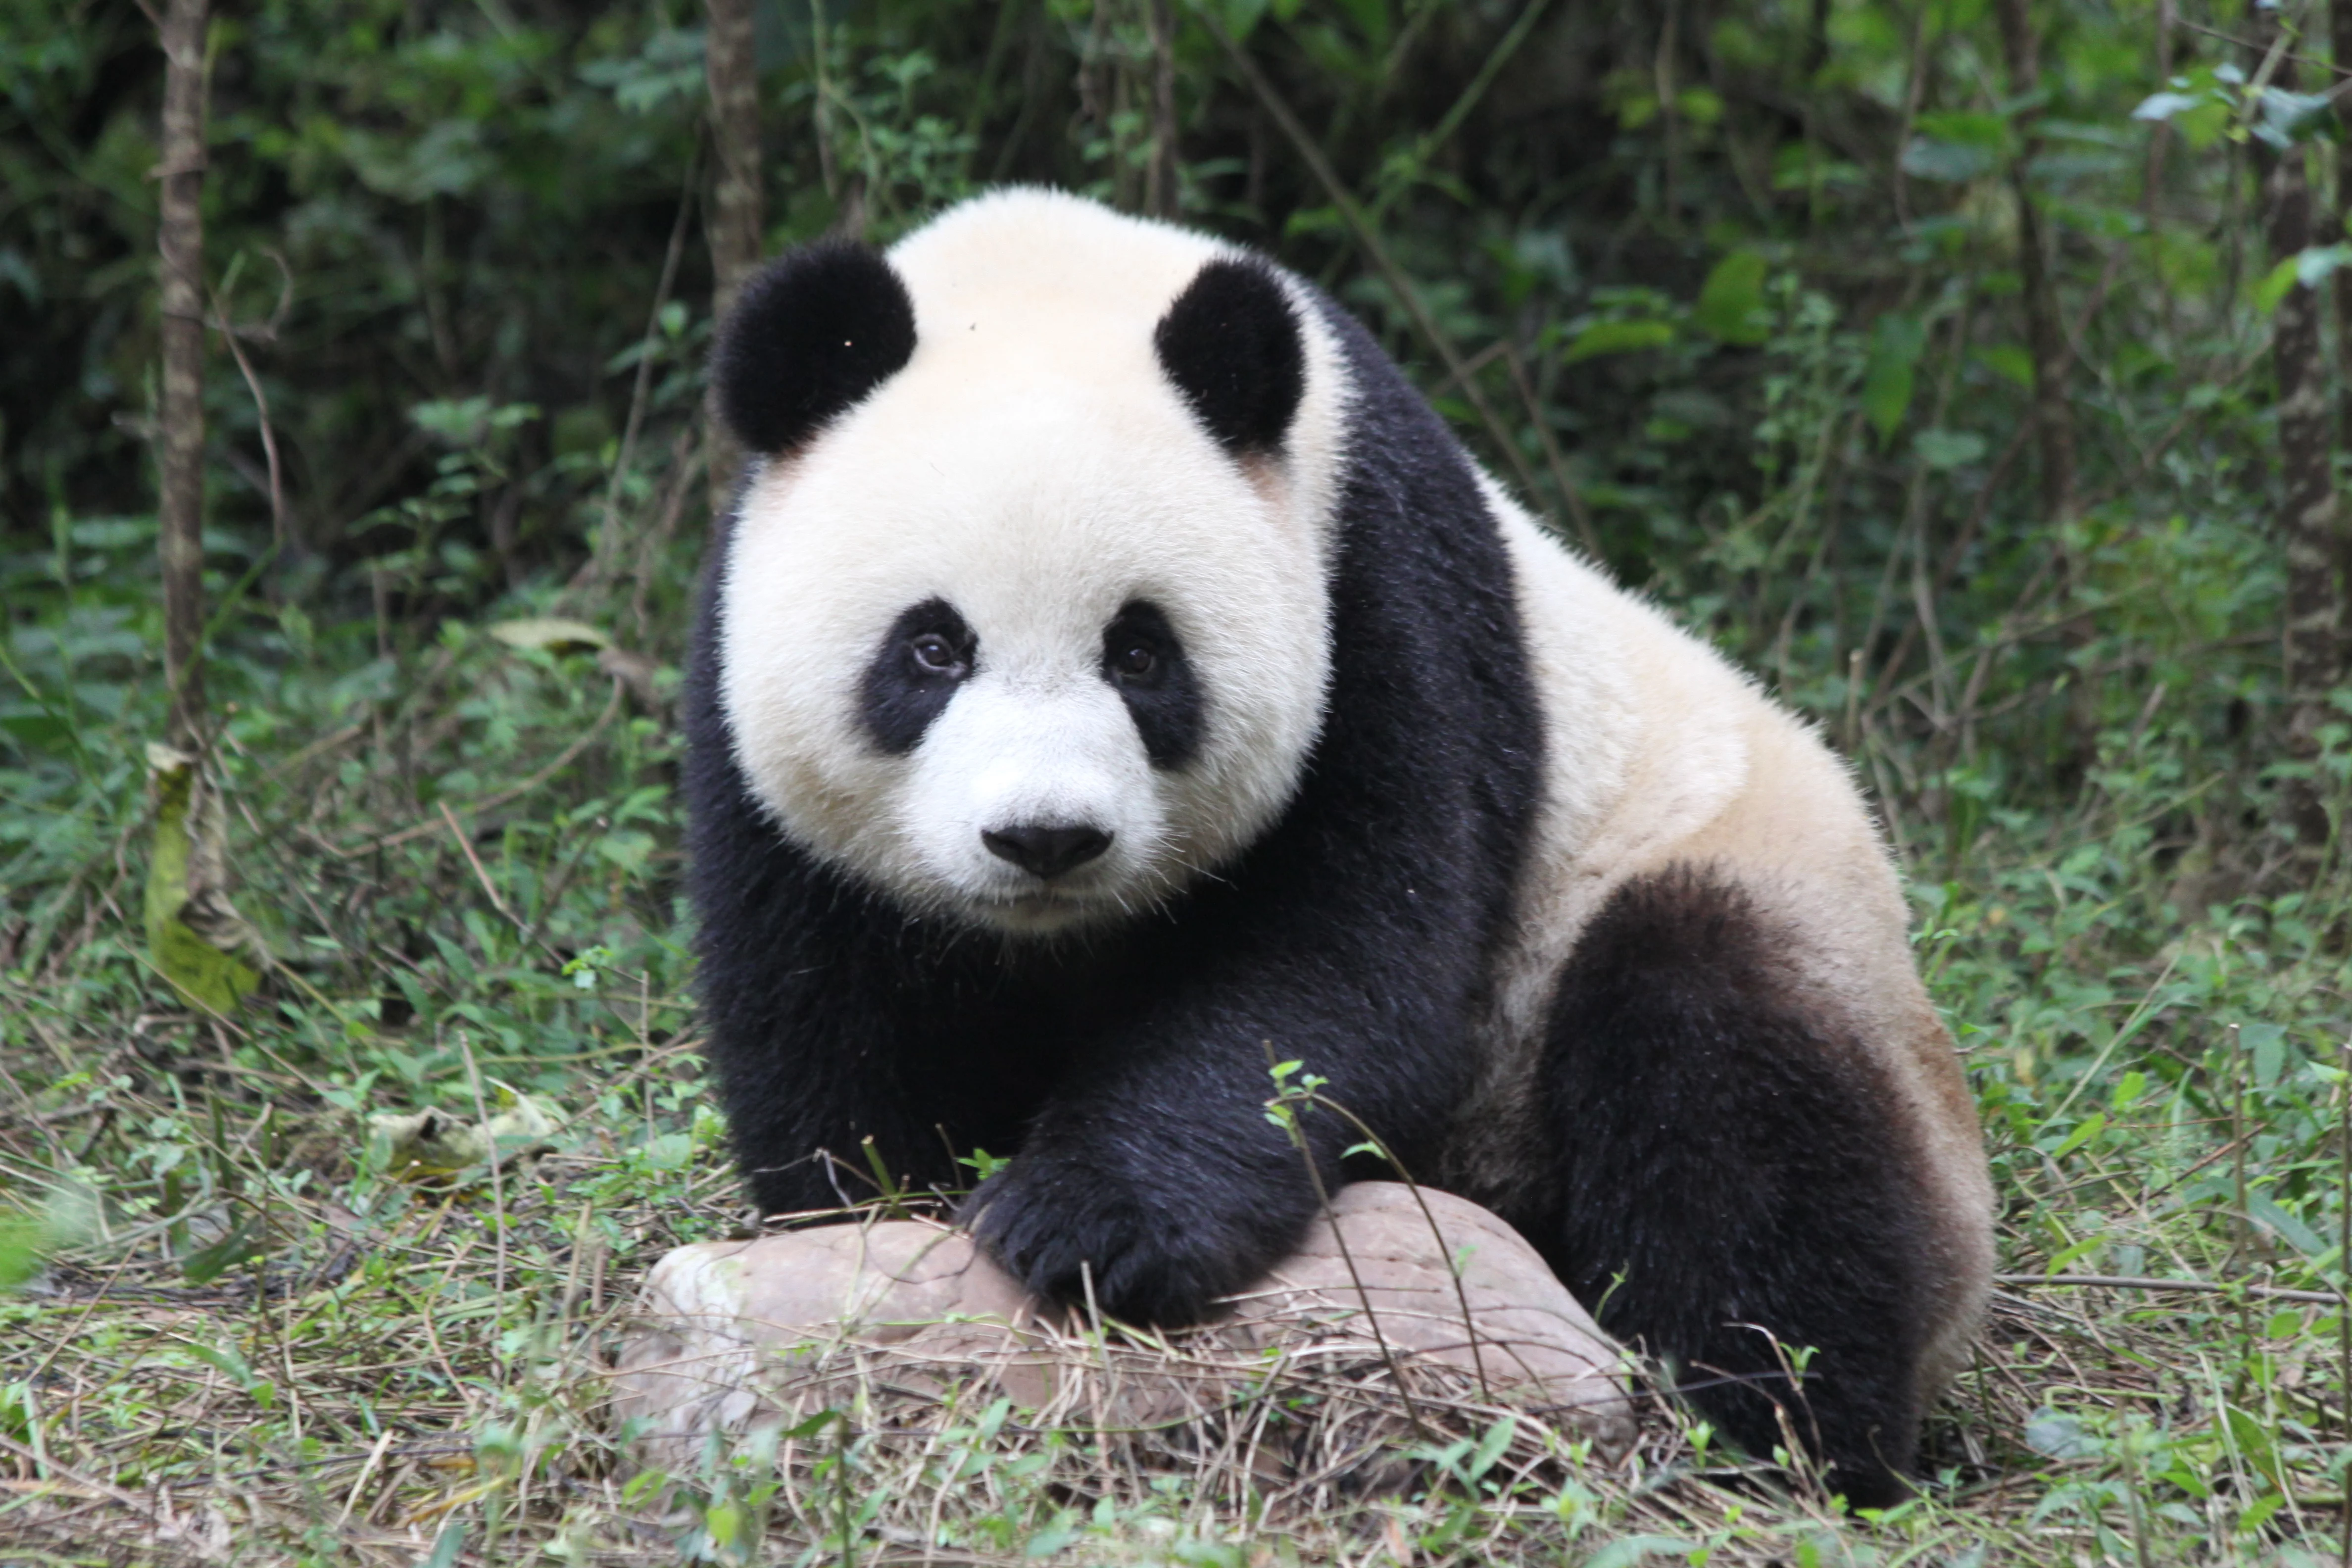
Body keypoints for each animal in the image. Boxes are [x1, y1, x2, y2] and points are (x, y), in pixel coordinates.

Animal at [686, 188, 1993, 1505]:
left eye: (1141, 652)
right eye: (931, 649)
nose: (1045, 837)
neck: (1048, 282)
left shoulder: (1378, 594)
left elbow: (1337, 975)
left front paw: (1084, 1225)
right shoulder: (743, 696)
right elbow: (826, 1015)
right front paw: (875, 1216)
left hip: (1747, 889)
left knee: (1736, 1093)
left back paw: (1774, 1424)